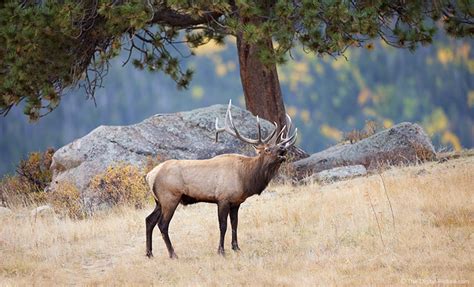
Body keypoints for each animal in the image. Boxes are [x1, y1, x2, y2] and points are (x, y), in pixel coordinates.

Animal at [146, 101, 298, 258]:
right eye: (267, 149)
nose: (283, 149)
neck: (245, 178)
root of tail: (150, 175)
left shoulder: (236, 202)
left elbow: (235, 224)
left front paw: (236, 247)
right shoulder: (223, 198)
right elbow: (223, 225)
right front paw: (221, 250)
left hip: (159, 201)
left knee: (149, 220)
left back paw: (150, 253)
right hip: (170, 197)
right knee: (162, 224)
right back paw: (173, 254)